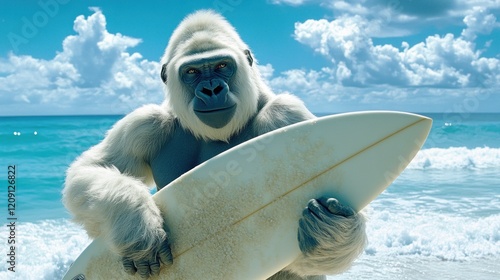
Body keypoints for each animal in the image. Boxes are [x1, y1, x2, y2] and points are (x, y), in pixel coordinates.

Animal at [63, 10, 368, 280]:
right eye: (192, 71)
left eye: (222, 65)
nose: (211, 89)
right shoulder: (146, 123)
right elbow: (91, 168)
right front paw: (137, 226)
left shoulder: (286, 114)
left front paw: (330, 234)